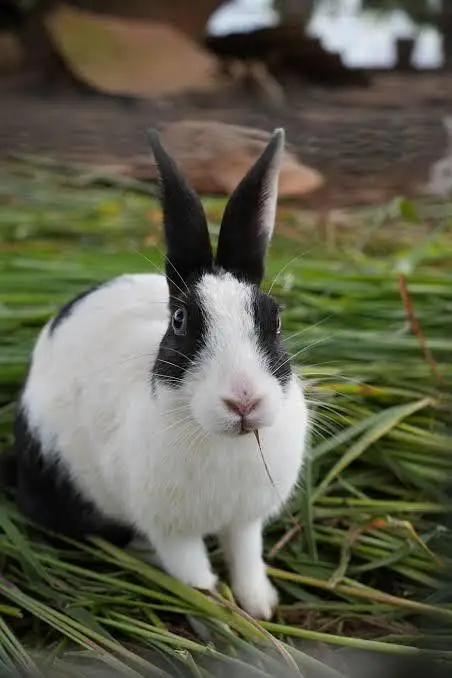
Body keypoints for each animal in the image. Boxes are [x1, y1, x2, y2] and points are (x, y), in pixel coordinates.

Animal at [13, 127, 308, 620]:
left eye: (276, 318)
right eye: (181, 321)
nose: (243, 401)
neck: (222, 441)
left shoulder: (244, 520)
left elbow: (246, 558)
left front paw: (260, 607)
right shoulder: (173, 532)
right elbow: (194, 575)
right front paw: (218, 613)